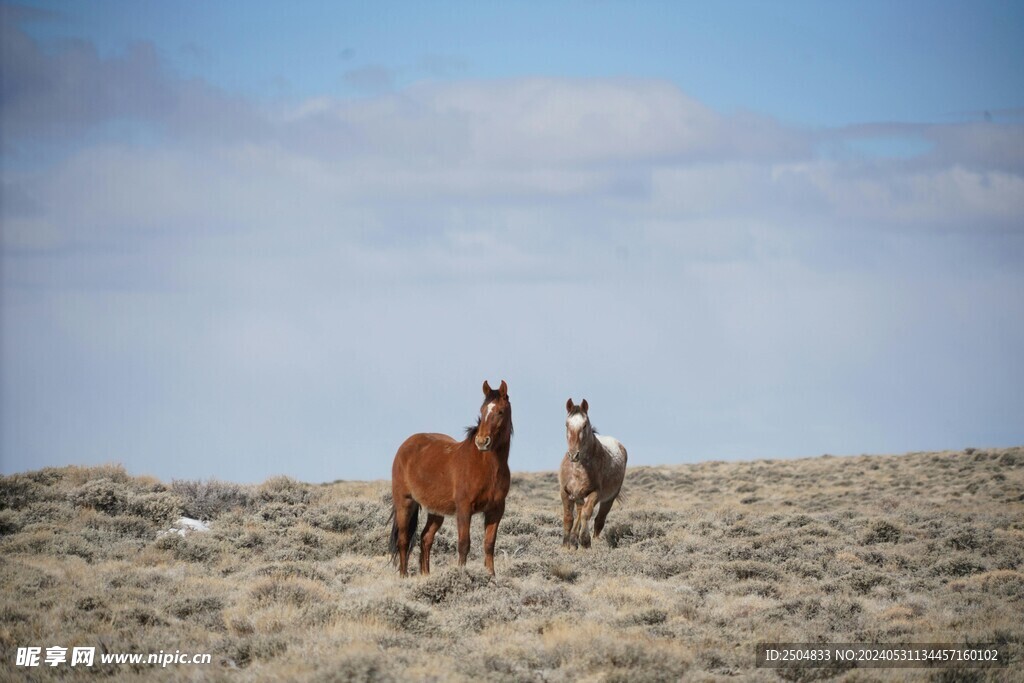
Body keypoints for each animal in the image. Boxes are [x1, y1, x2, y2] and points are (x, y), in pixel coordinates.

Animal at [389, 380, 513, 577]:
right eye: (482, 410)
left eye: (500, 411)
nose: (482, 442)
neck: (486, 467)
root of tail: (406, 445)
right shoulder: (464, 509)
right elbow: (464, 544)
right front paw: (462, 575)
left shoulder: (496, 510)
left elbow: (489, 544)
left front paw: (491, 576)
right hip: (405, 502)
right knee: (403, 540)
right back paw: (403, 576)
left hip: (436, 511)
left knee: (426, 539)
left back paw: (426, 576)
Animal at [559, 398, 627, 549]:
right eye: (566, 424)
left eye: (584, 425)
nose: (574, 455)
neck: (578, 469)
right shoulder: (565, 492)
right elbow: (568, 518)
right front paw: (566, 546)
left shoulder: (595, 493)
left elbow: (586, 514)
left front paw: (585, 542)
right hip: (579, 496)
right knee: (580, 513)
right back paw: (574, 540)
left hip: (609, 499)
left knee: (599, 520)